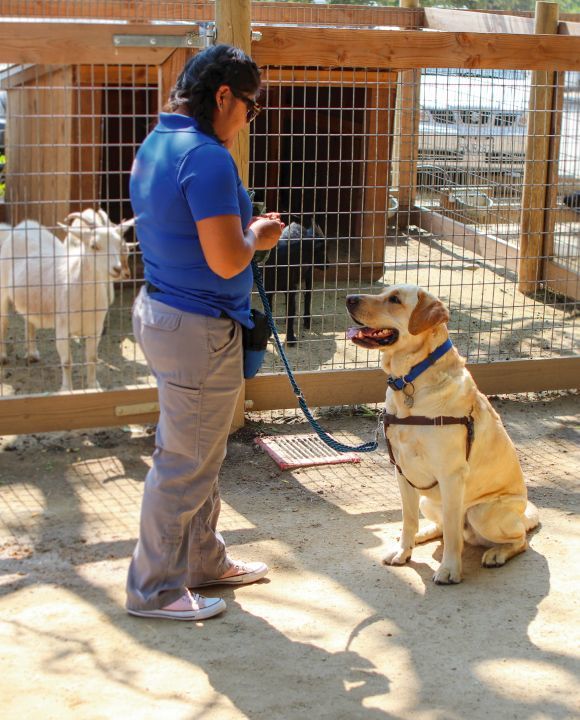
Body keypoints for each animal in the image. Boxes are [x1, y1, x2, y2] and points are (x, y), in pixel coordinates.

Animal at [0, 211, 136, 390]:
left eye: (121, 246)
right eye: (94, 245)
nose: (118, 269)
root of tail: (21, 227)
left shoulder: (95, 329)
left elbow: (92, 359)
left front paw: (93, 386)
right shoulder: (63, 328)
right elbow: (66, 361)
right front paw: (67, 389)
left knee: (29, 320)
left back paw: (32, 354)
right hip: (2, 288)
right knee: (3, 322)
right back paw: (3, 356)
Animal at [344, 284, 540, 584]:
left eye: (394, 299)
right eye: (384, 292)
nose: (348, 298)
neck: (410, 380)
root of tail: (524, 513)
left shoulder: (451, 476)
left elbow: (451, 529)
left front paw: (449, 570)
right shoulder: (403, 471)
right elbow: (408, 519)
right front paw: (403, 551)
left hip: (482, 512)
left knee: (518, 540)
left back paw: (497, 553)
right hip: (428, 500)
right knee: (438, 526)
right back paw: (421, 535)